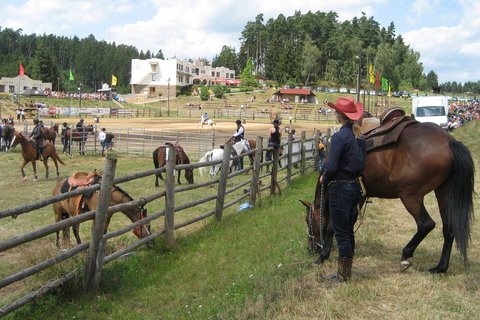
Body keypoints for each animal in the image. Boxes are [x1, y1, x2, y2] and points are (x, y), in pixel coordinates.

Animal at [302, 107, 474, 272]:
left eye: (308, 221)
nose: (311, 249)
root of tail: (449, 142)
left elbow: (333, 225)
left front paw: (323, 256)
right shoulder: (359, 198)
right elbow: (351, 221)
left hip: (410, 196)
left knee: (426, 224)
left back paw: (406, 255)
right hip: (443, 193)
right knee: (449, 229)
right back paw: (440, 267)